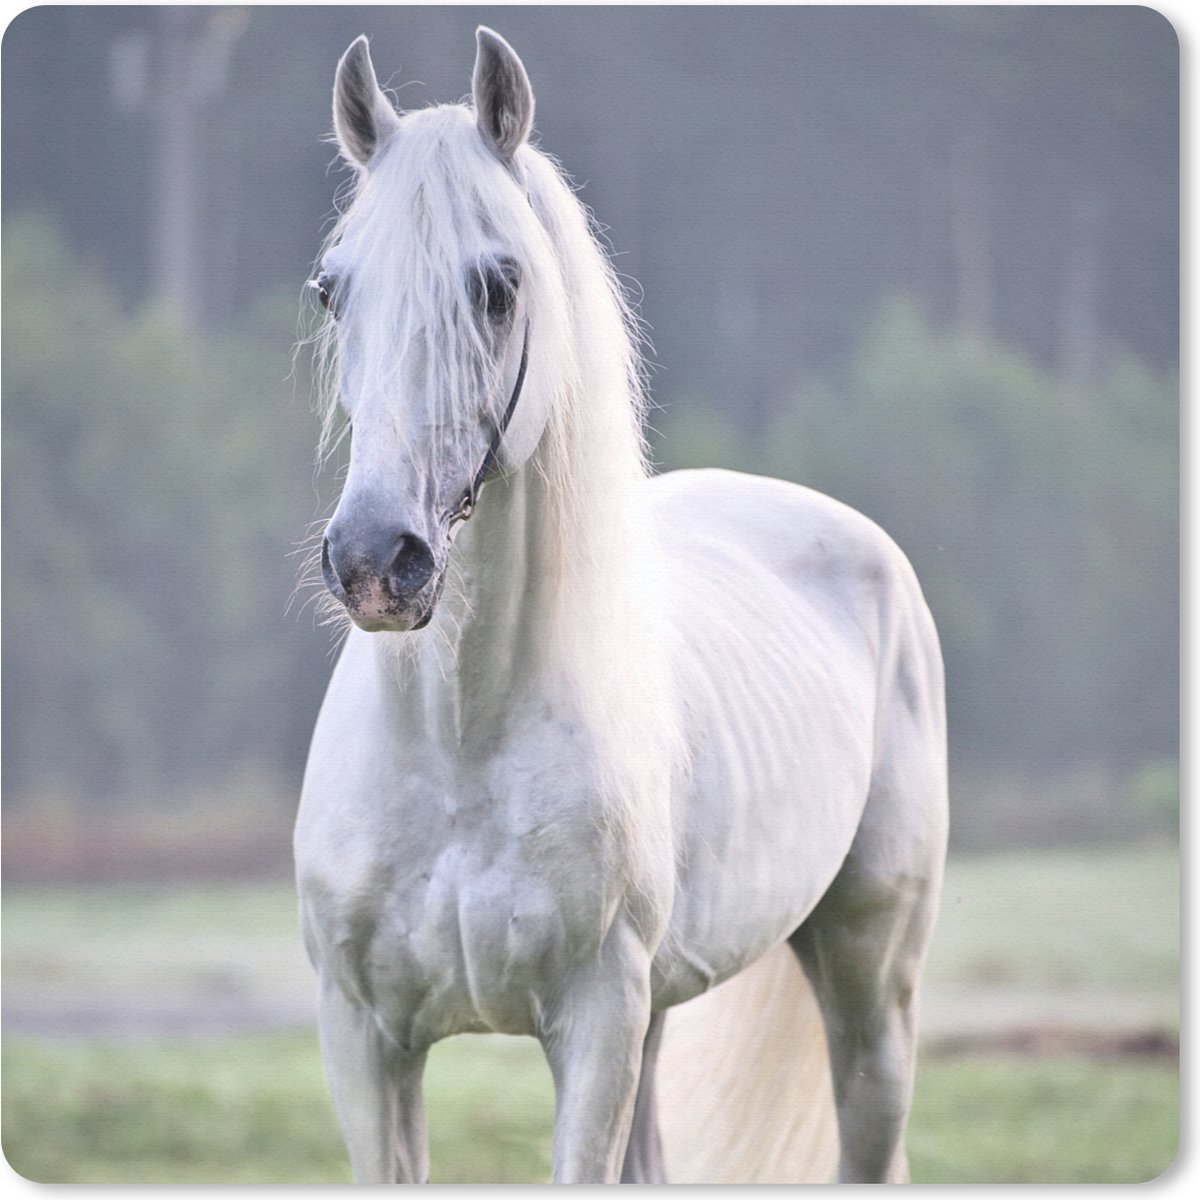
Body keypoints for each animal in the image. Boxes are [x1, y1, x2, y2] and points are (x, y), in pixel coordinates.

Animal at [295, 27, 948, 1185]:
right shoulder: (365, 1041)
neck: (459, 744)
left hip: (870, 994)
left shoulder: (594, 1024)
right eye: (334, 289)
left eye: (499, 285)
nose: (377, 560)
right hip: (662, 1014)